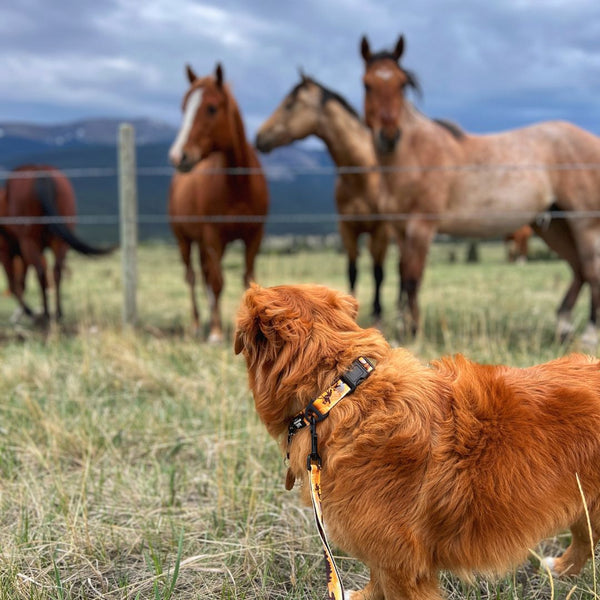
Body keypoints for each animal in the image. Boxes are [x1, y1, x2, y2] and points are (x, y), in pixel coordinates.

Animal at [1, 164, 112, 324]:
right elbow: (21, 283)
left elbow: (15, 284)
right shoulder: (20, 254)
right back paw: (57, 313)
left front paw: (27, 313)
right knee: (56, 271)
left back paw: (45, 314)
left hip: (29, 241)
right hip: (59, 240)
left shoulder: (6, 250)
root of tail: (41, 171)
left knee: (40, 272)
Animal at [168, 63, 268, 342]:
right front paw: (215, 333)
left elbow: (247, 280)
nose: (179, 155)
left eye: (211, 108)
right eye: (184, 107)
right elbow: (217, 282)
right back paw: (197, 324)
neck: (238, 186)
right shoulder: (212, 236)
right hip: (185, 240)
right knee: (193, 278)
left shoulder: (254, 236)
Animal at [233, 284, 600, 596]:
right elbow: (376, 581)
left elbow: (387, 583)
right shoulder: (386, 557)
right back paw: (562, 570)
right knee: (586, 537)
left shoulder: (402, 565)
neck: (339, 391)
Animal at [254, 72, 390, 322]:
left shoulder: (380, 229)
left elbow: (378, 272)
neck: (362, 174)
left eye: (290, 104)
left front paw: (377, 312)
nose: (260, 137)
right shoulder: (347, 227)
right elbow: (352, 270)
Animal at [360, 35, 600, 346]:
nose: (388, 136)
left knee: (592, 269)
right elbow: (402, 276)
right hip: (555, 226)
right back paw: (563, 328)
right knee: (579, 269)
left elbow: (412, 279)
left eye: (401, 84)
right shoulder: (400, 230)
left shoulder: (421, 226)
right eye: (367, 83)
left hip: (584, 223)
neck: (413, 155)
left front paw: (414, 333)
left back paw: (589, 333)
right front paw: (402, 330)